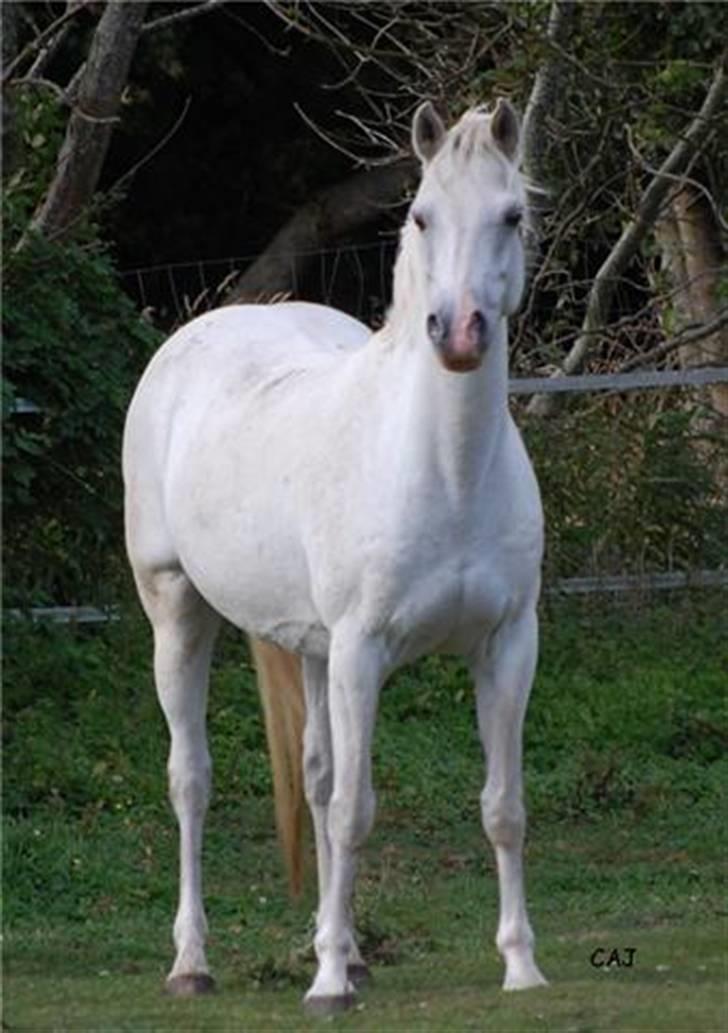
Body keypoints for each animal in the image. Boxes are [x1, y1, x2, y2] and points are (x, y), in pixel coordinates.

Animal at [123, 97, 547, 1015]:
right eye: (420, 216)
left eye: (512, 215)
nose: (458, 333)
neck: (447, 470)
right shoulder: (362, 651)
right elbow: (356, 810)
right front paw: (322, 987)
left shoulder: (507, 645)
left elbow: (503, 807)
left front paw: (522, 966)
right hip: (177, 610)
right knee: (191, 778)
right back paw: (193, 961)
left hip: (310, 649)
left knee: (314, 777)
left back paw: (345, 950)